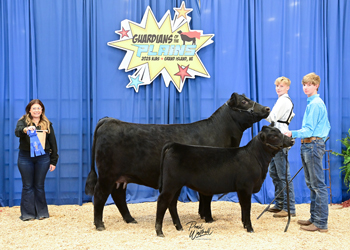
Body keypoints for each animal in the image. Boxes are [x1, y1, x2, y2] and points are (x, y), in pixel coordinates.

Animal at [85, 92, 270, 230]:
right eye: (244, 101)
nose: (267, 108)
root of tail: (110, 120)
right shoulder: (211, 174)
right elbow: (207, 196)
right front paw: (209, 218)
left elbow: (203, 197)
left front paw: (202, 215)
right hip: (107, 173)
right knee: (100, 194)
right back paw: (99, 224)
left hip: (121, 177)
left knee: (118, 195)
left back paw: (130, 219)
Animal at [154, 125, 294, 236]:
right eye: (274, 136)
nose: (291, 139)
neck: (256, 158)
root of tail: (174, 145)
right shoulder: (246, 186)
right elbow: (247, 207)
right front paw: (250, 228)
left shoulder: (240, 189)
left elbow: (242, 207)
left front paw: (244, 225)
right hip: (171, 183)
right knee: (162, 201)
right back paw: (159, 231)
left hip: (177, 185)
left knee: (172, 204)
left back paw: (179, 227)